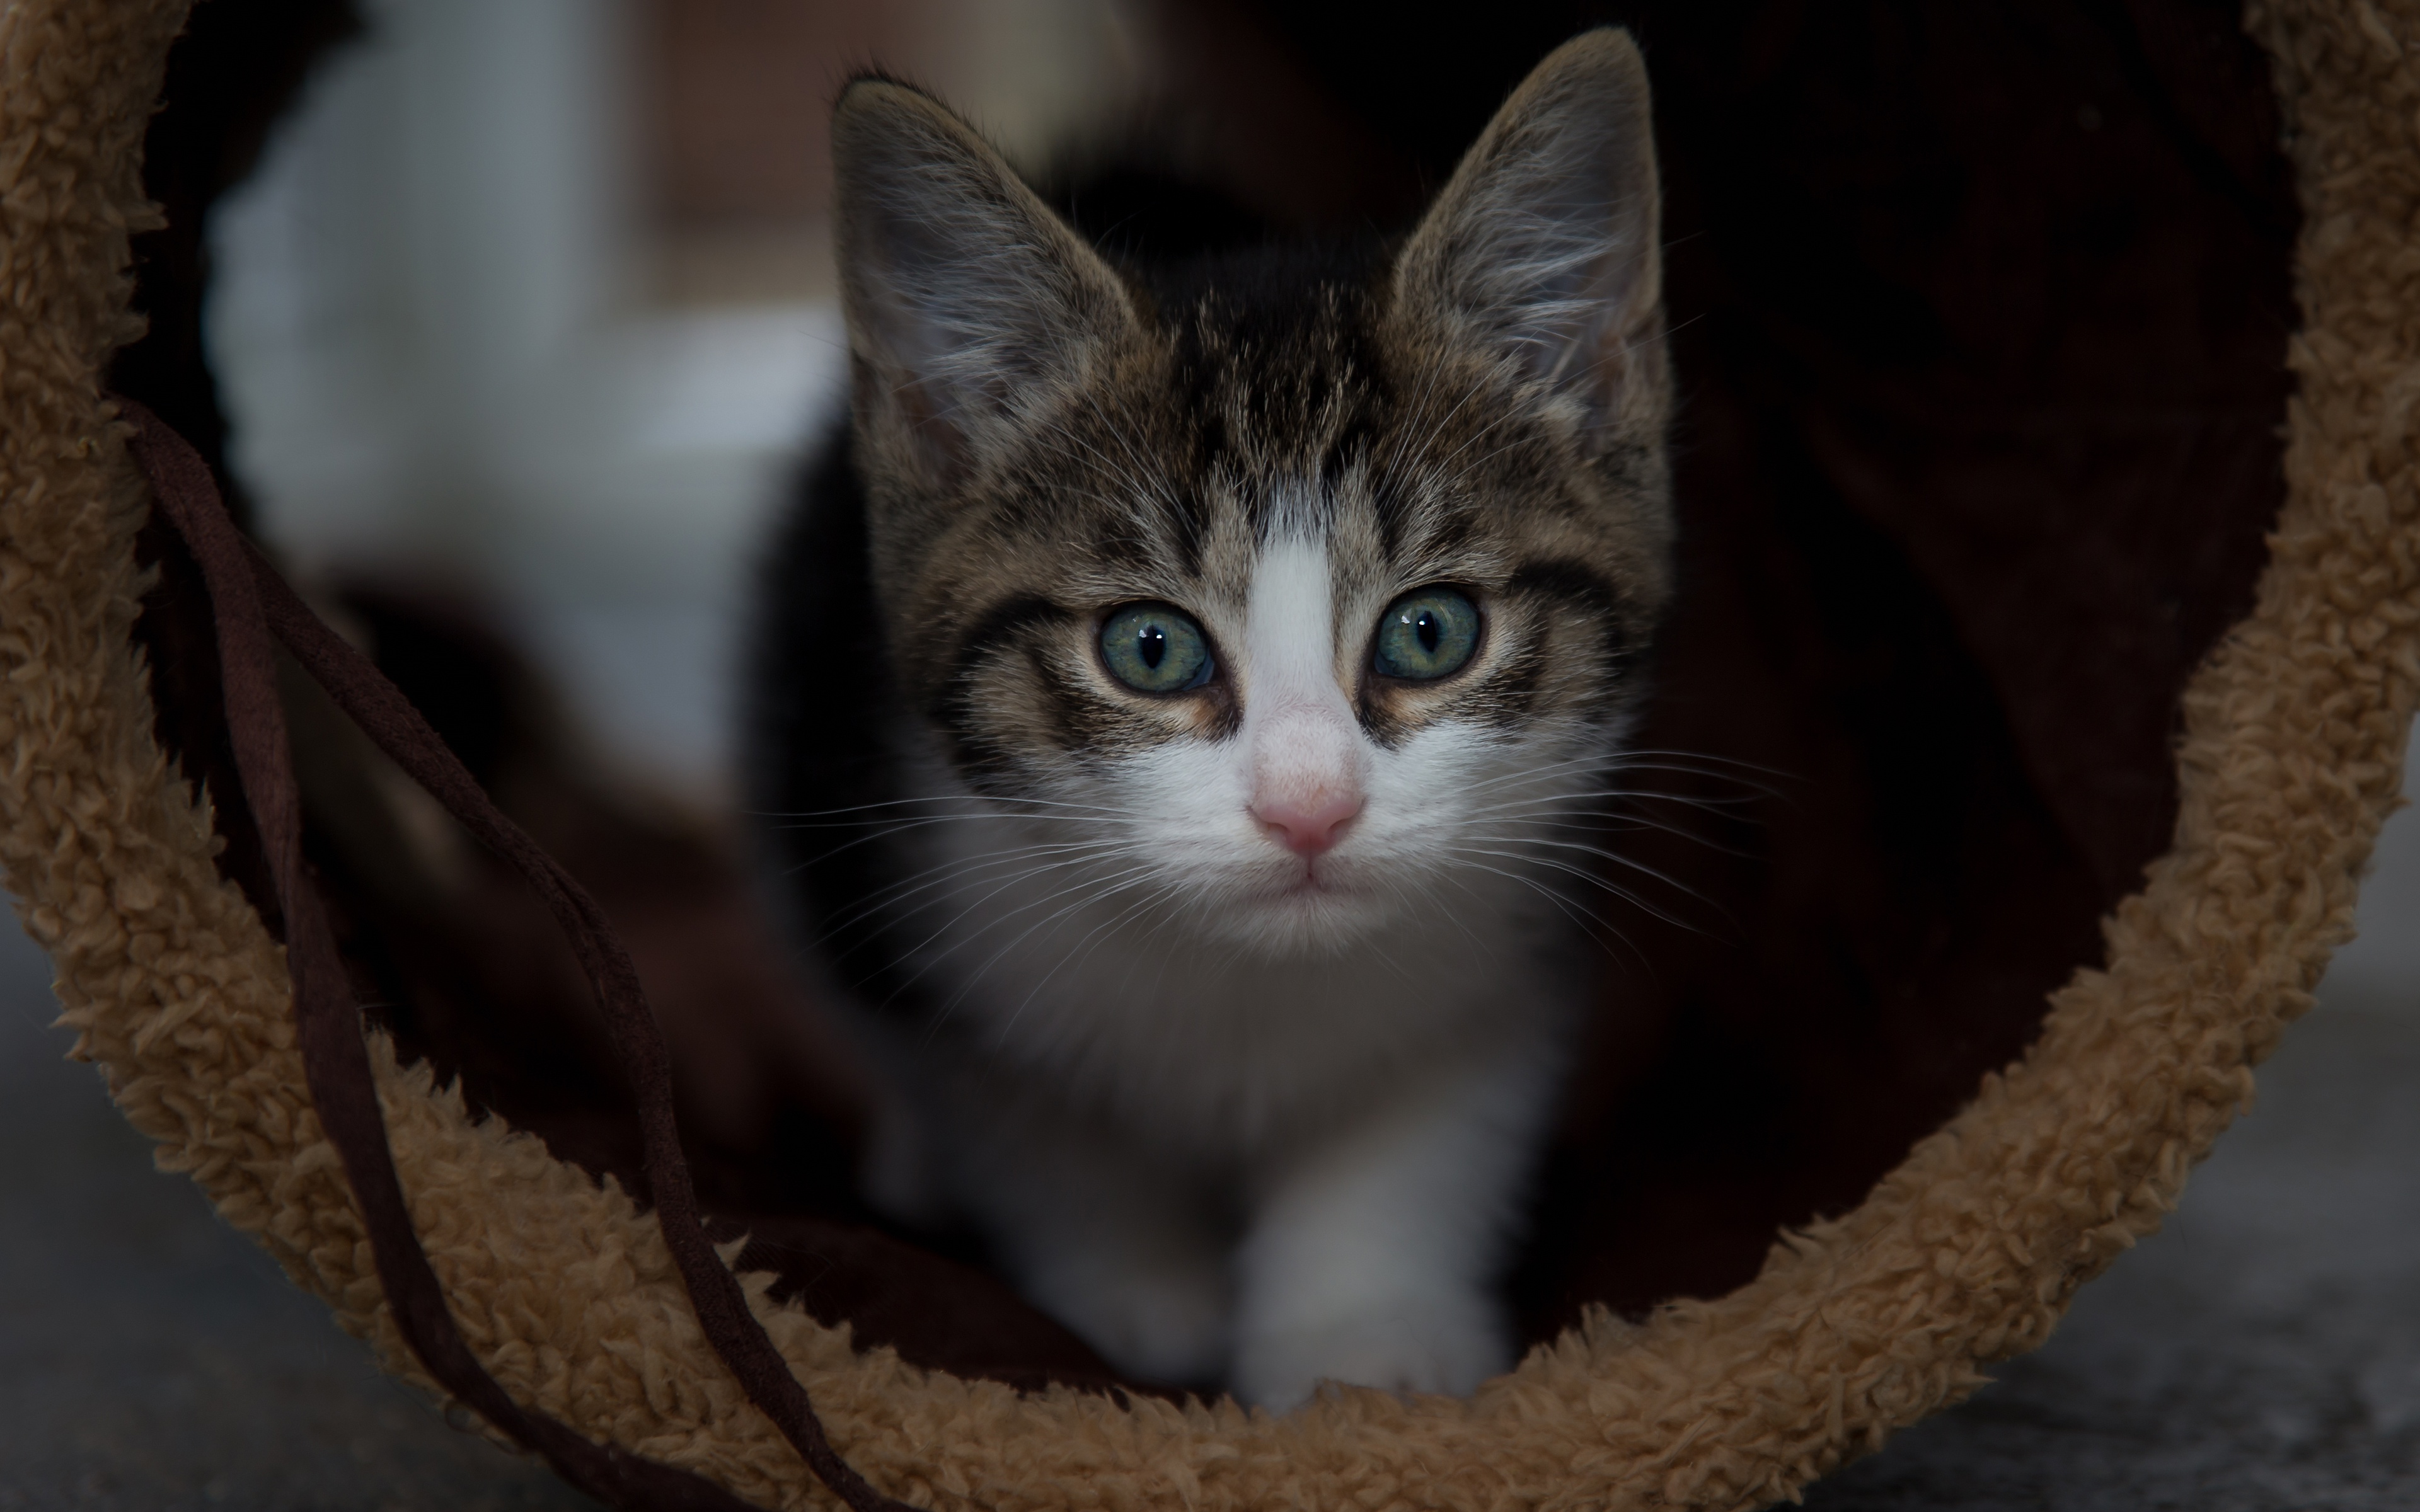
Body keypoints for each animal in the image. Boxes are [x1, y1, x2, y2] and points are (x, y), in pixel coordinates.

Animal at [750, 29, 1664, 1412]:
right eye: (1151, 649)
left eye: (1430, 633)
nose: (1310, 805)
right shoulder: (921, 893)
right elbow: (1032, 1129)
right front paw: (1138, 1294)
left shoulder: (1520, 927)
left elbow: (1427, 1130)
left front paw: (1364, 1337)